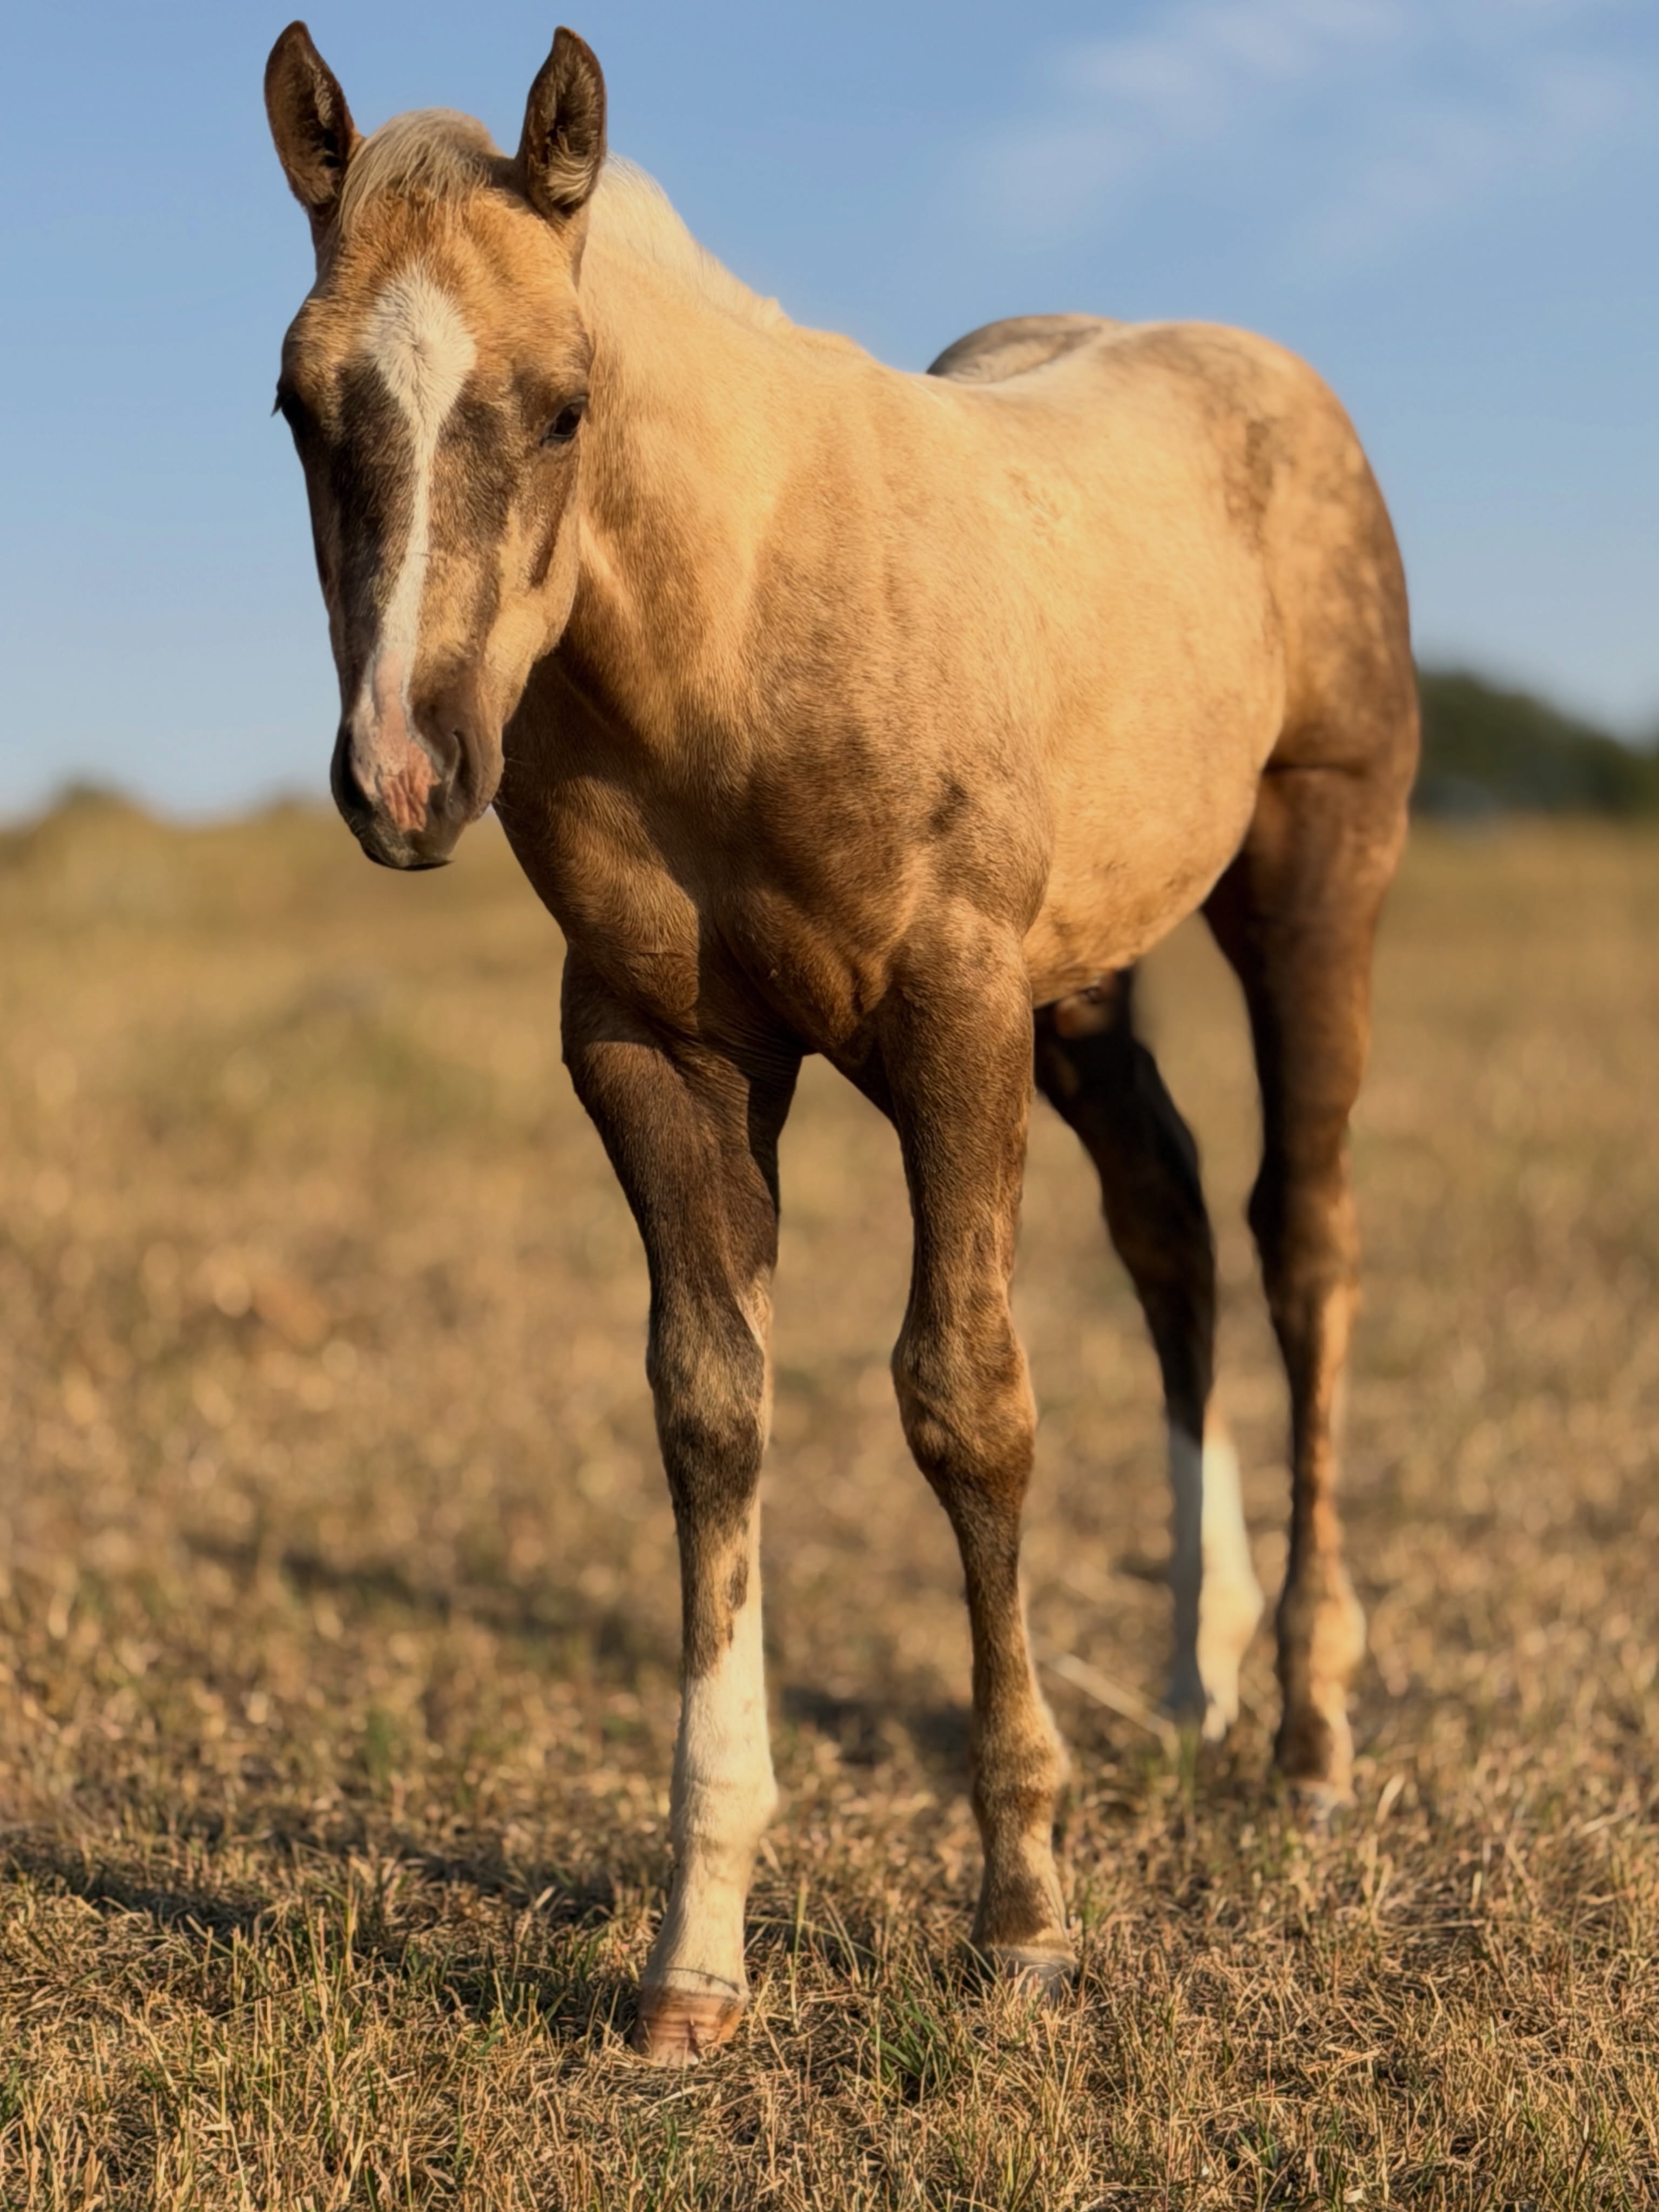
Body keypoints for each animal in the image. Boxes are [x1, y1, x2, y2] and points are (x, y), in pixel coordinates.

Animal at [264, 21, 1418, 2064]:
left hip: (1311, 883)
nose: (405, 778)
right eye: (300, 404)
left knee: (1303, 1238)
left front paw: (1024, 1912)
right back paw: (1193, 1679)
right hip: (1085, 982)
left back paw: (1303, 1731)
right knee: (1171, 1221)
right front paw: (695, 1958)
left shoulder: (950, 1021)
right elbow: (712, 1413)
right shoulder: (658, 1053)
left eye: (563, 407)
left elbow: (967, 1405)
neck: (731, 633)